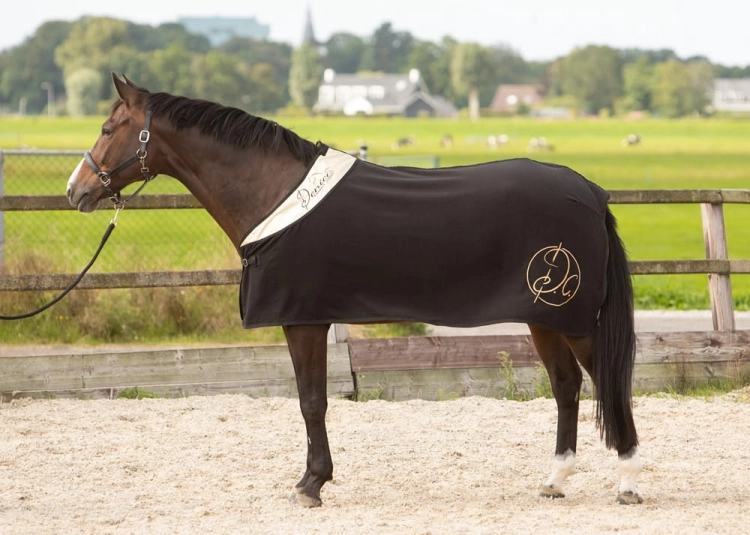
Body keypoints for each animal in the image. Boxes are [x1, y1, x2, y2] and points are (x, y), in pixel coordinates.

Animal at [67, 74, 643, 508]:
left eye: (107, 127)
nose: (76, 190)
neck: (275, 194)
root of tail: (590, 192)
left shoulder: (303, 319)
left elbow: (312, 401)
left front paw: (311, 484)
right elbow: (312, 400)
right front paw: (313, 480)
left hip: (571, 319)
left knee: (609, 384)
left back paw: (629, 481)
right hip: (544, 317)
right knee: (567, 385)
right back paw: (555, 481)